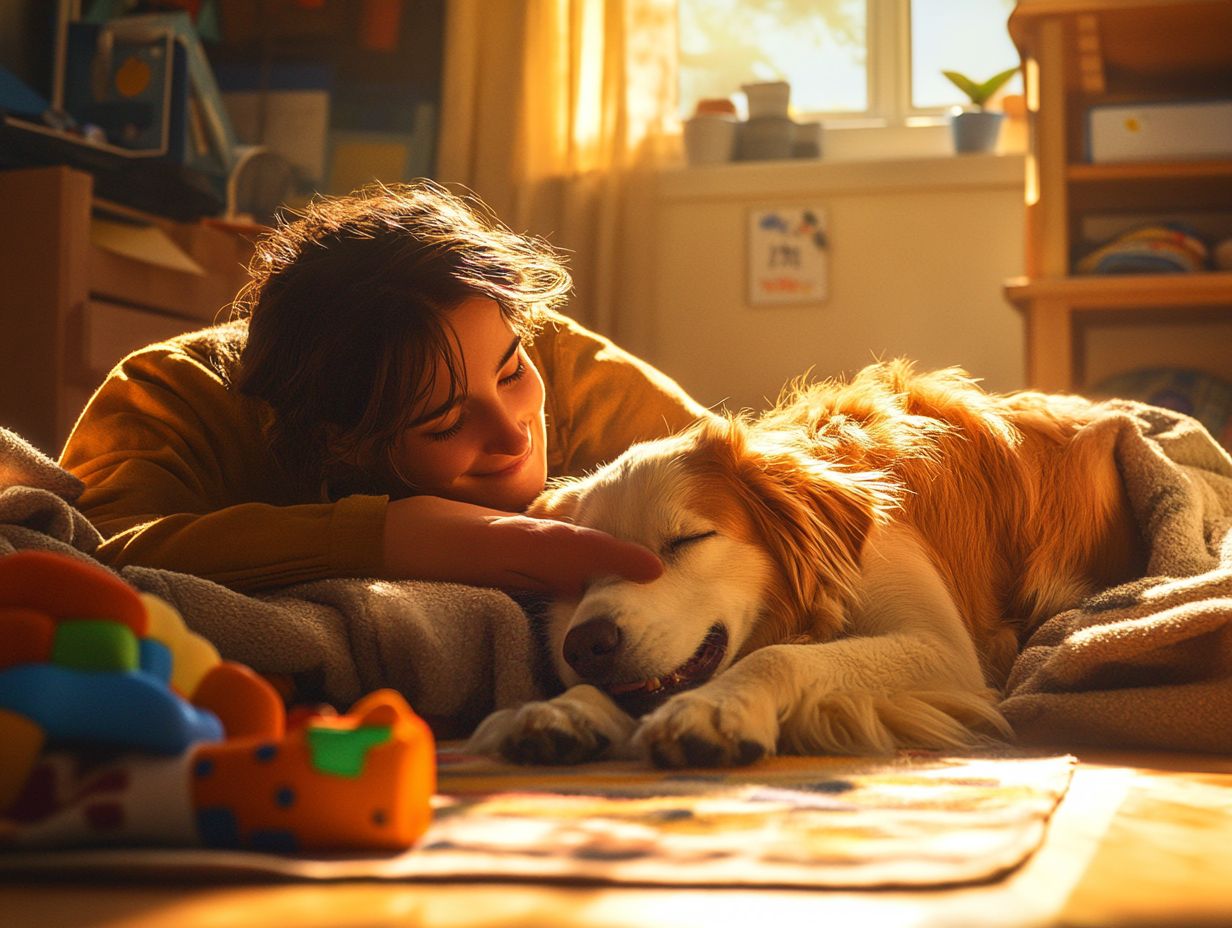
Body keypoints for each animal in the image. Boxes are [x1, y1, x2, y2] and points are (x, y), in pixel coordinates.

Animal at [465, 362, 1138, 769]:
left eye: (687, 540)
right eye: (577, 570)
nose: (586, 644)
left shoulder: (945, 652)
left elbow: (781, 656)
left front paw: (715, 709)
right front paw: (565, 708)